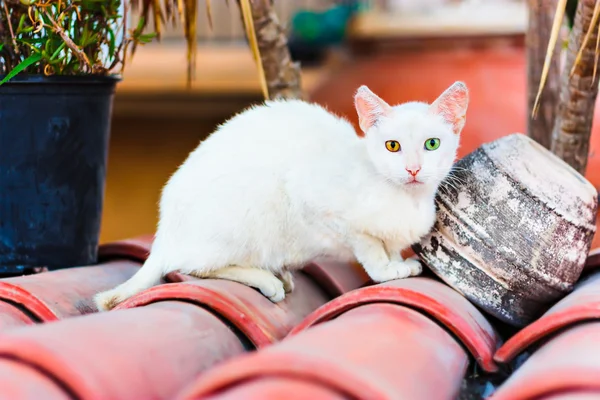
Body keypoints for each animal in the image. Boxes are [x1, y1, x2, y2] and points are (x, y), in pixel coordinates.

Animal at [94, 81, 468, 310]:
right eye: (392, 146)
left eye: (431, 144)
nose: (413, 169)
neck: (404, 199)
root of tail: (164, 236)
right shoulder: (321, 208)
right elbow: (370, 249)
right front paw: (389, 271)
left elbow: (387, 245)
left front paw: (397, 262)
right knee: (194, 267)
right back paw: (267, 279)